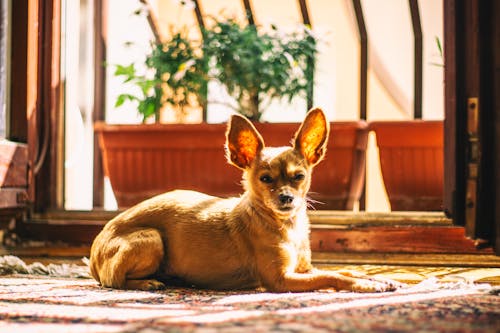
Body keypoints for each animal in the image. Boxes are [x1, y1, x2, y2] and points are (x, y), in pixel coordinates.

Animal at [90, 108, 400, 290]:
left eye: (298, 177)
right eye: (265, 179)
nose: (286, 198)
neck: (287, 227)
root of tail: (93, 256)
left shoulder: (305, 268)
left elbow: (346, 270)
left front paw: (376, 278)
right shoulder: (281, 279)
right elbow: (332, 276)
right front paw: (368, 286)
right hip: (151, 238)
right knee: (113, 281)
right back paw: (149, 283)